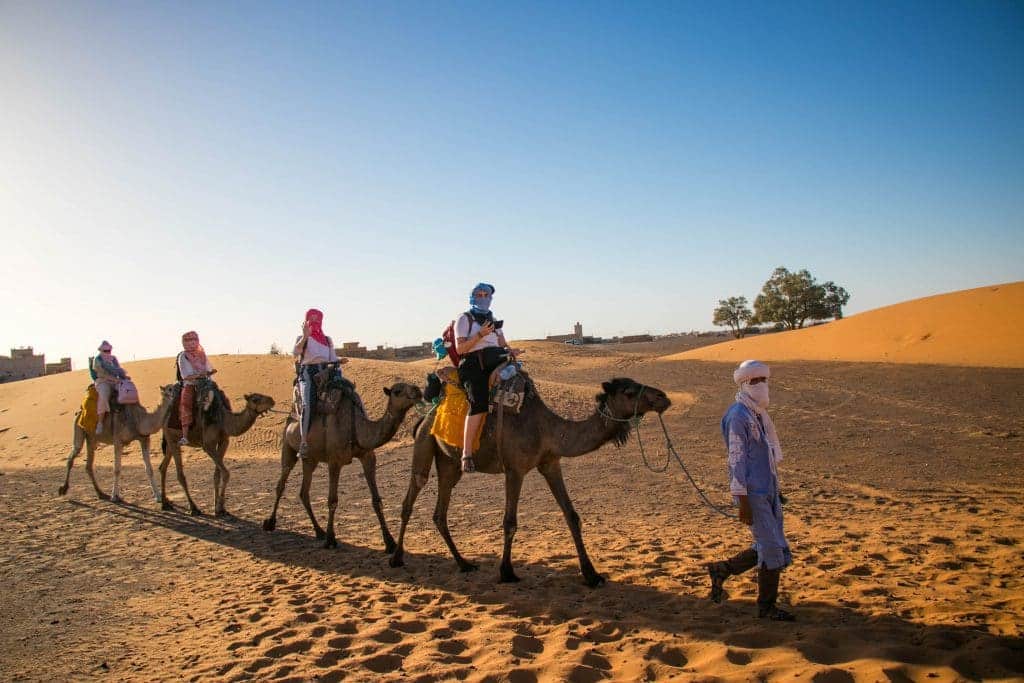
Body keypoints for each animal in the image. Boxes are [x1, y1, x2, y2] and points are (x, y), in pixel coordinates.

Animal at [157, 387, 276, 516]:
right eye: (255, 399)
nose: (272, 400)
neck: (223, 420)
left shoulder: (224, 442)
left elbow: (217, 474)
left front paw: (217, 507)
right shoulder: (208, 445)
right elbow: (226, 473)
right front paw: (220, 507)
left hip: (171, 440)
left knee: (163, 467)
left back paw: (165, 503)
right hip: (172, 438)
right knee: (180, 474)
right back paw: (193, 508)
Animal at [264, 382, 428, 552]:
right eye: (397, 391)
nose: (417, 391)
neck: (356, 427)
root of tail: (290, 416)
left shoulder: (368, 456)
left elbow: (376, 500)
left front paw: (390, 542)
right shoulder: (334, 461)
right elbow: (332, 500)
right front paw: (330, 540)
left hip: (310, 459)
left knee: (304, 492)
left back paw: (319, 531)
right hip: (288, 446)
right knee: (282, 482)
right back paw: (270, 523)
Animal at [387, 376, 667, 585]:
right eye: (629, 392)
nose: (663, 397)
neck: (547, 430)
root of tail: (423, 418)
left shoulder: (550, 464)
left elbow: (572, 516)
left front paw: (592, 575)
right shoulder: (515, 469)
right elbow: (510, 522)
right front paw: (507, 571)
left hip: (450, 463)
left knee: (440, 511)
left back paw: (463, 563)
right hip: (425, 443)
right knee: (412, 494)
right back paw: (396, 558)